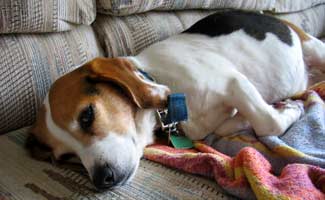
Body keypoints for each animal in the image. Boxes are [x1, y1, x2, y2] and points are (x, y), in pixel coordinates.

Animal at [28, 10, 324, 189]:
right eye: (67, 157)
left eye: (87, 115)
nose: (102, 179)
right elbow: (242, 121)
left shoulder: (234, 82)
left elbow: (266, 123)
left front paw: (290, 109)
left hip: (314, 47)